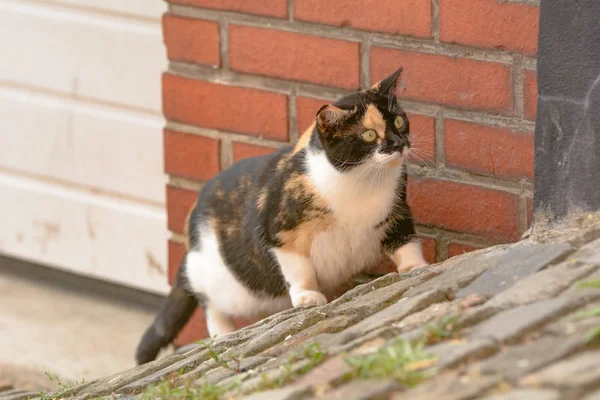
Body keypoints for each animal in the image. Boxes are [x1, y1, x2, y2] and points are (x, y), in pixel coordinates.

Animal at [136, 67, 426, 364]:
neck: (361, 182)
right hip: (217, 276)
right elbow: (298, 267)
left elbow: (406, 242)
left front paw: (415, 268)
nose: (399, 143)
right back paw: (223, 333)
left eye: (399, 121)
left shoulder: (398, 210)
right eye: (368, 135)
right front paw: (308, 296)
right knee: (208, 300)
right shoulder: (280, 230)